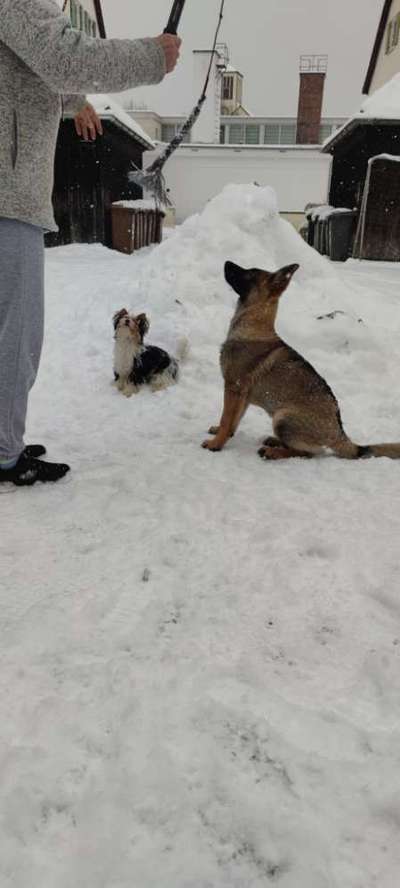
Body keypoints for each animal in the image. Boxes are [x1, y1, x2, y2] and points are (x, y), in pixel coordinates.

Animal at [202, 260, 400, 462]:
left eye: (250, 274)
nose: (226, 262)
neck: (253, 325)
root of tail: (340, 436)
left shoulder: (234, 388)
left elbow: (226, 419)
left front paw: (216, 444)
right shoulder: (242, 396)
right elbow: (234, 420)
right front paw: (223, 435)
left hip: (282, 417)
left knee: (310, 452)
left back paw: (274, 451)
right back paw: (274, 442)